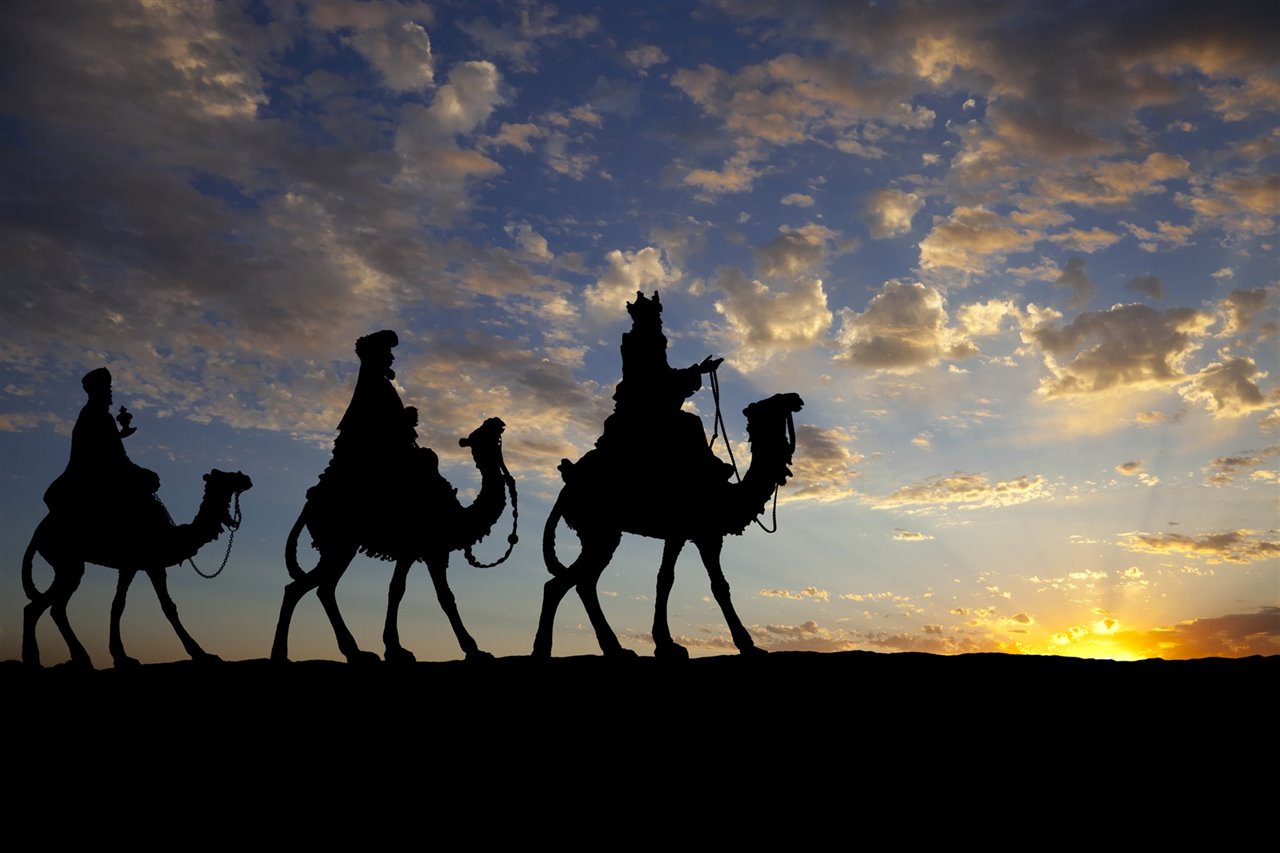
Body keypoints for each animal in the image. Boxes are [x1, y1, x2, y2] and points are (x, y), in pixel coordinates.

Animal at [22, 468, 250, 666]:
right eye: (224, 476)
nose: (245, 478)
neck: (174, 537)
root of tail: (37, 533)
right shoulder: (153, 564)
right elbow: (168, 607)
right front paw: (201, 653)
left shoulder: (129, 566)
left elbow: (117, 605)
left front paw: (121, 656)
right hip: (67, 561)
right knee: (39, 607)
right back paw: (35, 658)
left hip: (67, 564)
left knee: (55, 608)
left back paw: (79, 658)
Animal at [272, 414, 517, 660]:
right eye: (482, 434)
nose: (497, 421)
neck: (457, 517)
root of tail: (309, 502)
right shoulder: (434, 550)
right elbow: (445, 596)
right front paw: (474, 649)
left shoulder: (410, 552)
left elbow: (396, 589)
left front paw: (394, 648)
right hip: (340, 544)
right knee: (304, 588)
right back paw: (284, 653)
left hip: (339, 546)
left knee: (321, 588)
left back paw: (354, 652)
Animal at [529, 389, 798, 655]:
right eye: (769, 405)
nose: (796, 398)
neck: (729, 496)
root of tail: (566, 488)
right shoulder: (703, 534)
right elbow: (716, 585)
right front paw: (747, 645)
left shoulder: (681, 534)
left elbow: (665, 579)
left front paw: (665, 643)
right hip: (600, 530)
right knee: (566, 583)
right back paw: (546, 649)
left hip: (599, 532)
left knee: (582, 583)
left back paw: (614, 648)